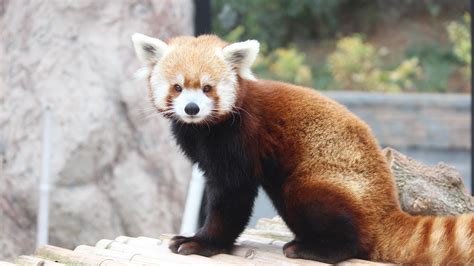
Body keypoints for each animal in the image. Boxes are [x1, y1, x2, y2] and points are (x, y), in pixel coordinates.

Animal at [131, 33, 474, 264]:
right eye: (177, 87)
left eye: (207, 88)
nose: (191, 109)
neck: (204, 129)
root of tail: (387, 209)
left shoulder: (242, 139)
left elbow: (232, 196)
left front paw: (202, 242)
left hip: (323, 184)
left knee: (334, 223)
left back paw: (314, 248)